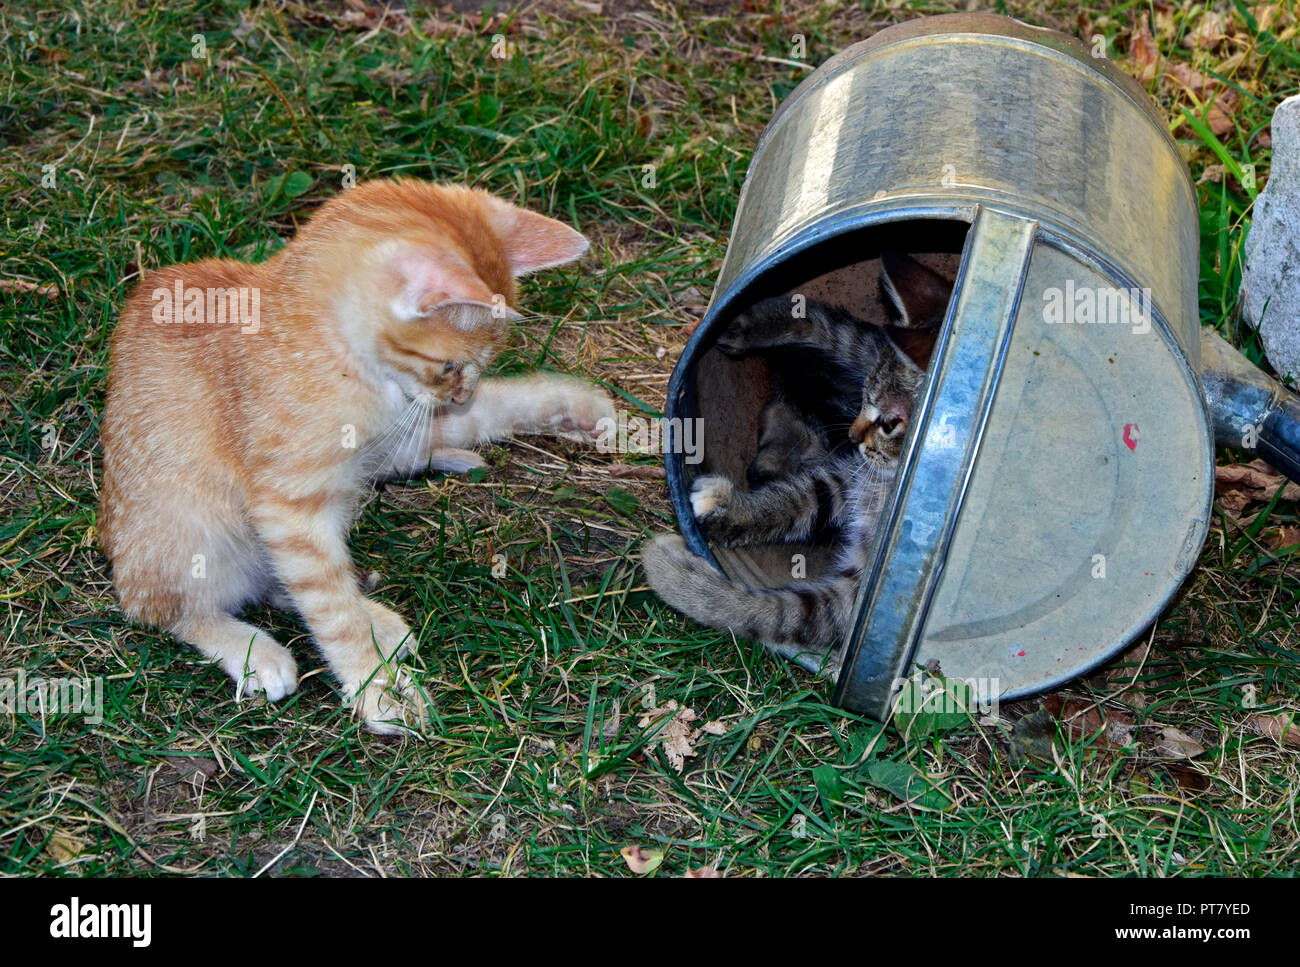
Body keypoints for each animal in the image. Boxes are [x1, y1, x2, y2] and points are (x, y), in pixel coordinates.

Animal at [96, 178, 613, 727]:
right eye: (451, 365)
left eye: (483, 364)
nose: (459, 396)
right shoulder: (289, 509)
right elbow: (329, 606)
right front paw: (376, 685)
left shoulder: (398, 428)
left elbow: (486, 411)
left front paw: (571, 405)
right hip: (186, 533)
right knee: (170, 607)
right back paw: (253, 648)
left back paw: (377, 615)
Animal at [642, 249, 956, 657]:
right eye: (865, 399)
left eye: (890, 423)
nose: (852, 436)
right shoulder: (845, 477)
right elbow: (796, 498)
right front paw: (734, 510)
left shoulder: (859, 601)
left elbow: (778, 613)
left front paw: (683, 580)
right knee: (846, 335)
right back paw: (752, 321)